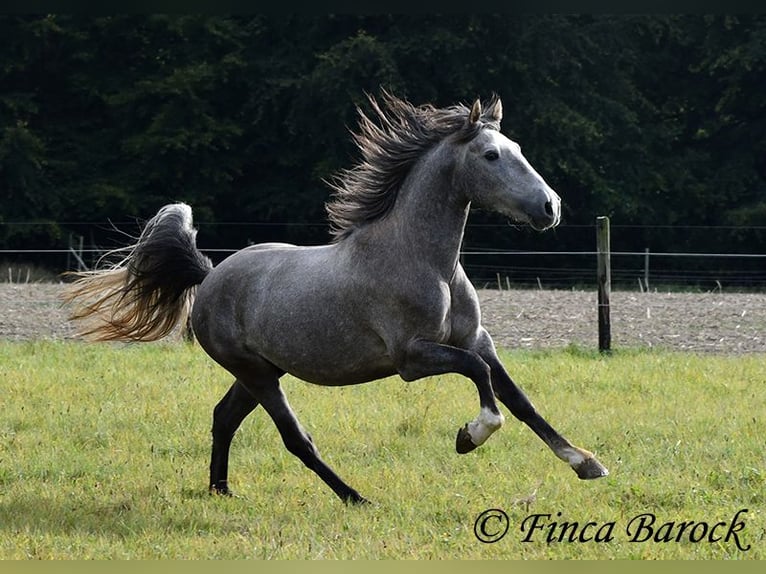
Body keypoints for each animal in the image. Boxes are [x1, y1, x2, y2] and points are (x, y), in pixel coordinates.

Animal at [64, 92, 608, 506]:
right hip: (257, 373)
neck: (424, 261)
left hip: (262, 370)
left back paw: (221, 490)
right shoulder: (412, 358)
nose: (550, 207)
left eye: (515, 148)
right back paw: (356, 497)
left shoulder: (477, 339)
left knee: (224, 417)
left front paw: (586, 463)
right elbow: (483, 386)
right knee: (295, 439)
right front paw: (468, 437)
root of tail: (211, 274)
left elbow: (520, 399)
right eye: (491, 155)